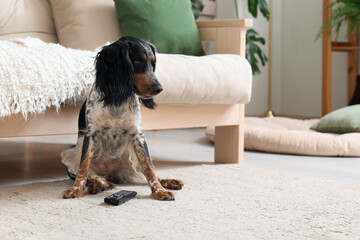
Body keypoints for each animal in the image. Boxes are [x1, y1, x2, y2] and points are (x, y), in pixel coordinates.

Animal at [61, 36, 183, 201]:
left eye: (153, 63)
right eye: (138, 61)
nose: (159, 88)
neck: (118, 97)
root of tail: (112, 173)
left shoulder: (137, 136)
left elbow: (150, 169)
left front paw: (159, 191)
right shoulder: (91, 135)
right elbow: (84, 167)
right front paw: (76, 189)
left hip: (132, 162)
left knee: (145, 173)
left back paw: (170, 182)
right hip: (69, 158)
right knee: (94, 176)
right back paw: (99, 184)